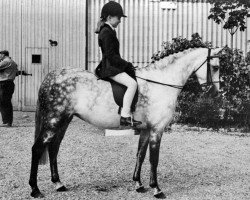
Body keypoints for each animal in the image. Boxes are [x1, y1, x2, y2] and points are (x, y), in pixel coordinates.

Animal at [28, 47, 222, 198]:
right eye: (215, 67)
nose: (215, 93)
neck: (162, 83)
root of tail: (52, 76)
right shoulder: (157, 129)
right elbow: (154, 159)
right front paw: (157, 189)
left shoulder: (146, 129)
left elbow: (140, 155)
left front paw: (139, 184)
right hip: (54, 120)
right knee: (37, 149)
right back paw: (35, 190)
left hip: (64, 121)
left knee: (53, 148)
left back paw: (58, 184)